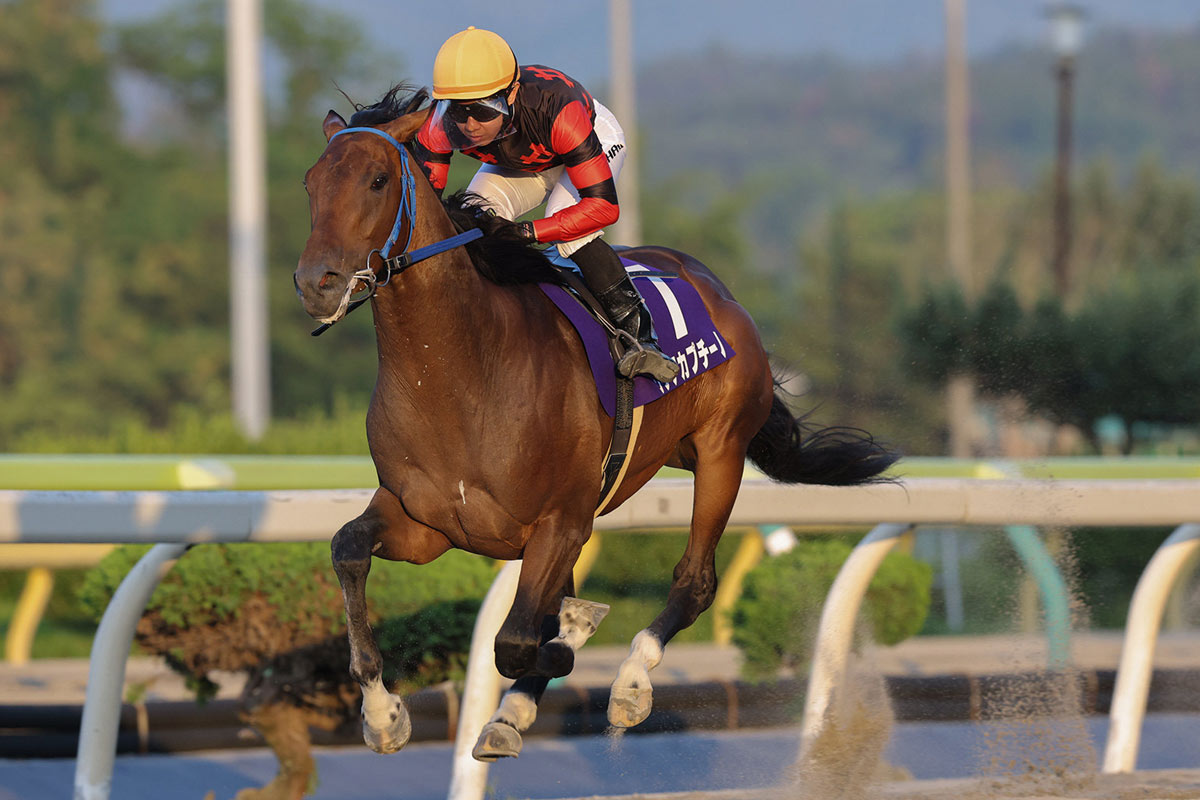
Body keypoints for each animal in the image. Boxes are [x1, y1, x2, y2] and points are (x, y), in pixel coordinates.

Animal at [293, 85, 898, 761]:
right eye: (311, 183)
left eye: (377, 181)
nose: (317, 283)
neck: (462, 371)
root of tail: (718, 290)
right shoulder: (427, 522)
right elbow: (348, 550)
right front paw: (383, 714)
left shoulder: (560, 521)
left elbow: (521, 640)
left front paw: (575, 633)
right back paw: (512, 713)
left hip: (720, 451)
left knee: (694, 581)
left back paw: (630, 684)